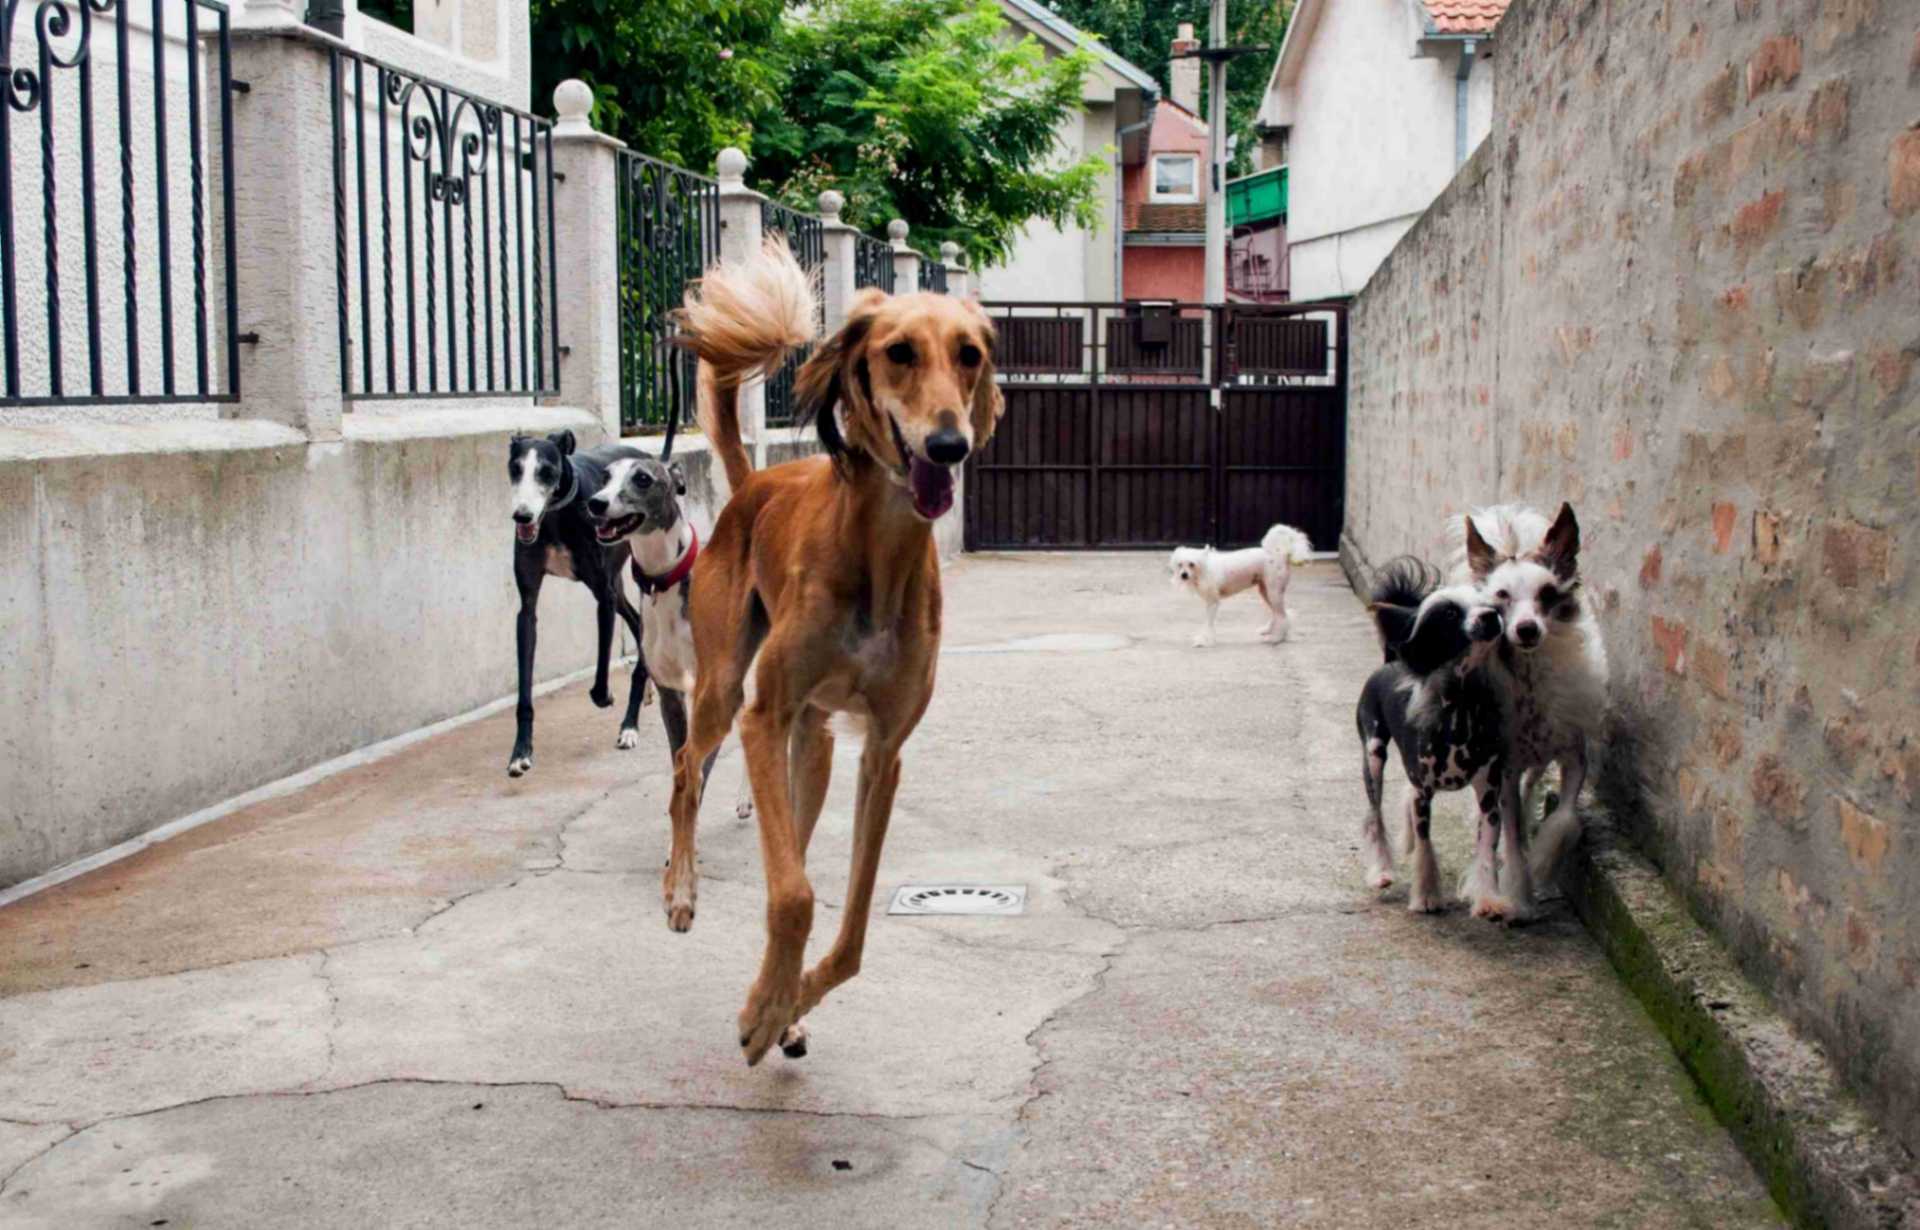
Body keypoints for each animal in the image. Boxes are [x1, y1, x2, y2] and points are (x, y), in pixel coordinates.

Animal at [506, 431, 656, 775]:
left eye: (546, 471)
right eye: (515, 468)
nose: (522, 516)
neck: (557, 514)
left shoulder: (603, 595)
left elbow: (600, 682)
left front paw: (608, 697)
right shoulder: (528, 607)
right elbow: (524, 687)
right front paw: (521, 751)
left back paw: (629, 725)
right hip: (619, 586)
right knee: (636, 621)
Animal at [668, 239, 1006, 1066]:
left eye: (970, 354)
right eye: (899, 352)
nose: (948, 445)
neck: (878, 551)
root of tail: (755, 479)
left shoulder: (883, 750)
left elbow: (849, 929)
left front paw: (785, 1004)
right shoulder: (764, 713)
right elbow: (793, 896)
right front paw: (764, 1012)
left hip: (812, 744)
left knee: (788, 829)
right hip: (725, 687)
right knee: (687, 767)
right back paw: (682, 892)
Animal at [1159, 521, 1313, 648]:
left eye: (1192, 564)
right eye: (1180, 564)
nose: (1183, 575)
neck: (1204, 568)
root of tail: (1279, 554)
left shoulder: (1213, 603)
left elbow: (1208, 624)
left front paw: (1204, 641)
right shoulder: (1209, 602)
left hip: (1273, 592)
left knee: (1281, 616)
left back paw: (1276, 638)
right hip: (1266, 591)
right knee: (1280, 614)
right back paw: (1274, 632)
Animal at [1351, 556, 1512, 913]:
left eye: (1486, 600)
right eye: (1450, 613)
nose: (1491, 615)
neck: (1460, 708)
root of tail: (1391, 660)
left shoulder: (1489, 792)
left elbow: (1487, 847)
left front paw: (1489, 900)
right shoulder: (1424, 791)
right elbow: (1425, 845)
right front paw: (1426, 895)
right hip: (1373, 753)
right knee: (1374, 814)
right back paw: (1382, 871)